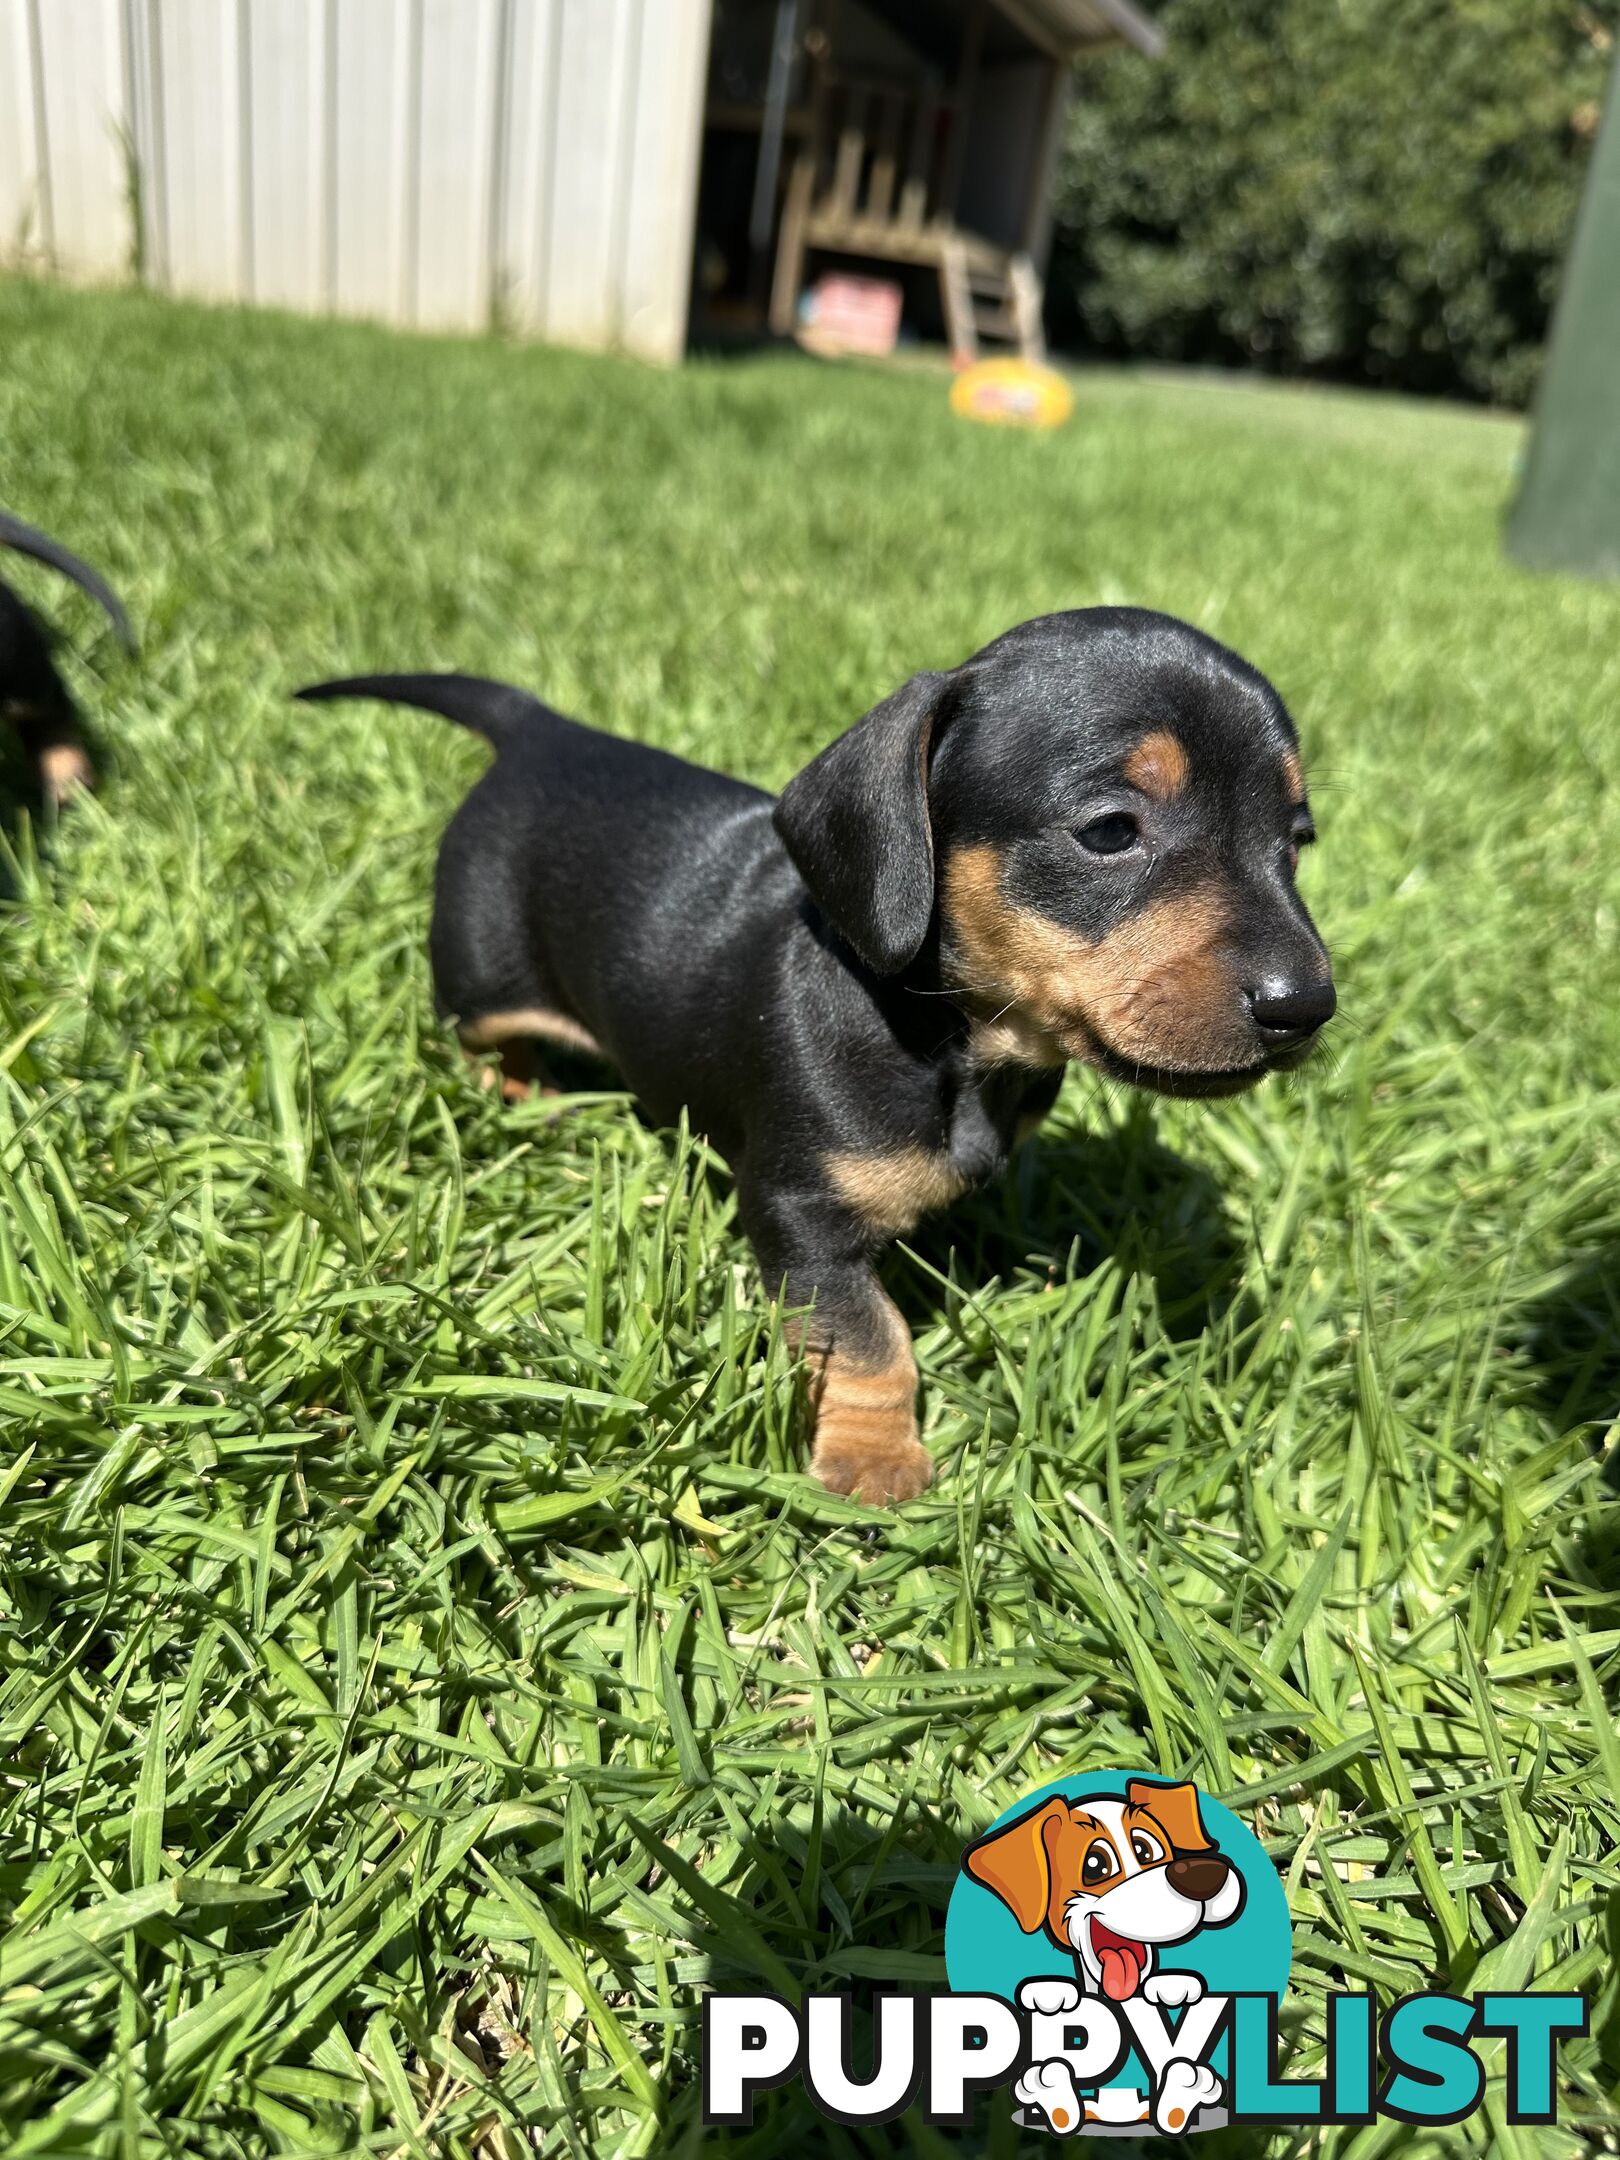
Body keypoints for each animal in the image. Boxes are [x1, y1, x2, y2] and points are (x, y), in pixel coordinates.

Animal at [302, 609, 1330, 1503]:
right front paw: (875, 1462)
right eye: (1111, 829)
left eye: (1297, 839)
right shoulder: (800, 1212)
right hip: (479, 983)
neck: (954, 1042)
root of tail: (542, 732)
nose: (1307, 1008)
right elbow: (872, 1340)